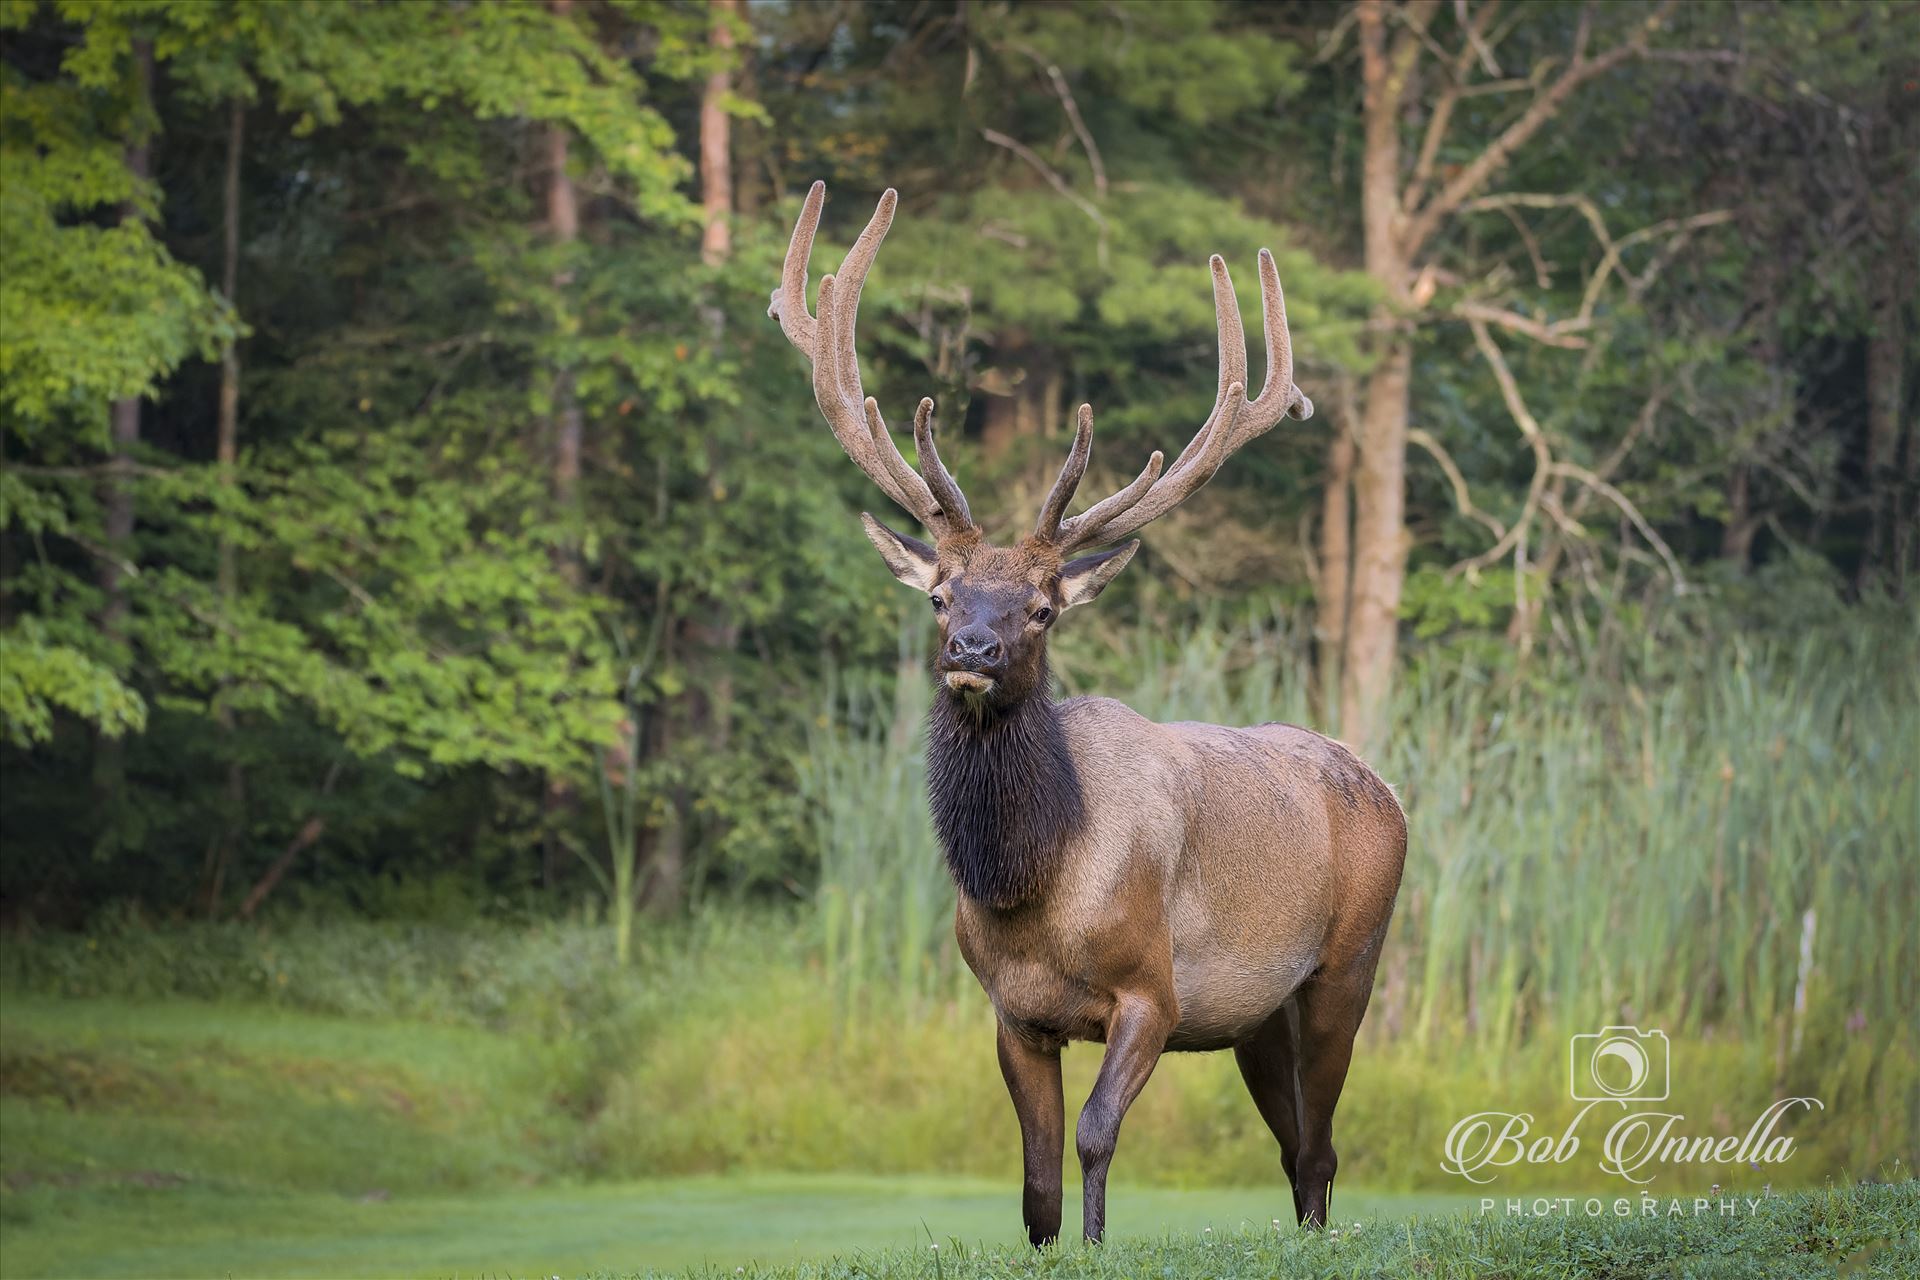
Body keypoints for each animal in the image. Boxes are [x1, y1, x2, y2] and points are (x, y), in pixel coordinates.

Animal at [768, 185, 1413, 1243]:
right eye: (940, 595)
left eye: (1041, 607)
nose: (972, 653)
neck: (1033, 886)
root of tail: (1387, 789)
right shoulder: (1011, 1013)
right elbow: (1034, 1181)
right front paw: (1052, 1239)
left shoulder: (1153, 990)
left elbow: (1096, 1135)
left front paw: (1101, 1242)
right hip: (1255, 1018)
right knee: (1295, 1149)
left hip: (1346, 967)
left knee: (1322, 1147)